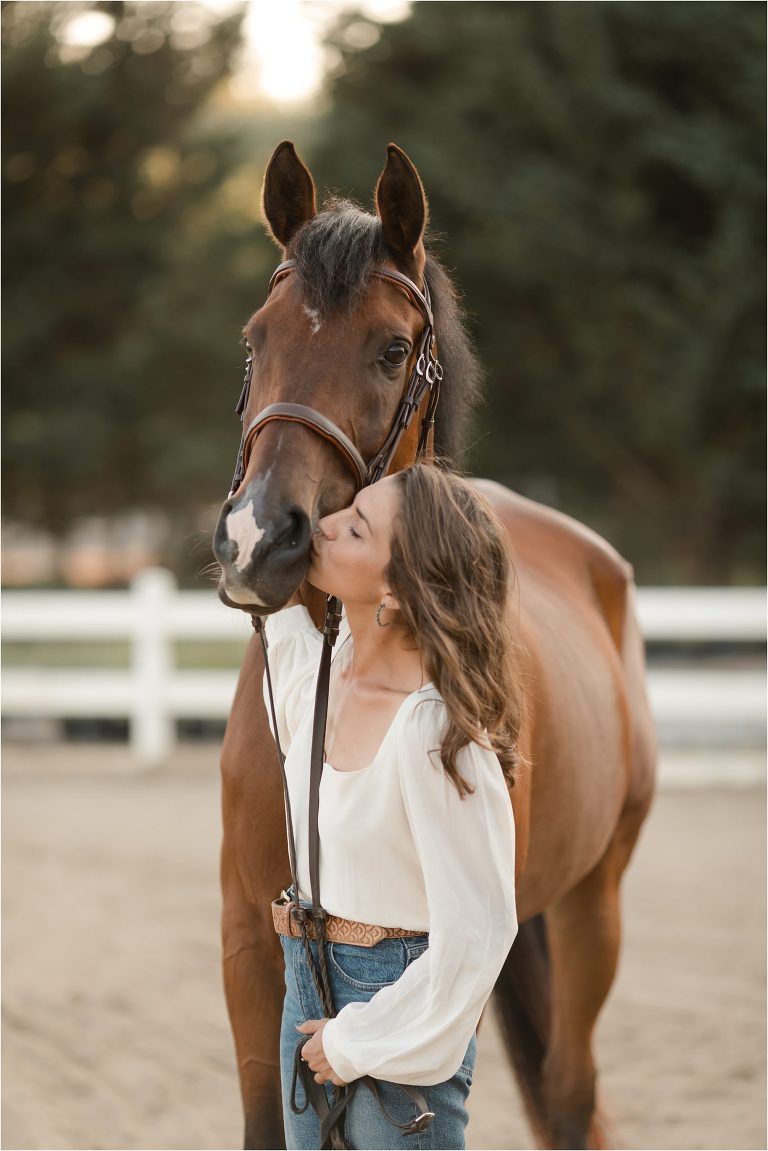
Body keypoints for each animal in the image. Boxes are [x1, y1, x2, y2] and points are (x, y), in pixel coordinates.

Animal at [213, 140, 656, 1150]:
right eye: (256, 338)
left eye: (389, 349)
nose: (259, 539)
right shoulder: (250, 940)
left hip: (593, 904)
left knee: (570, 1093)